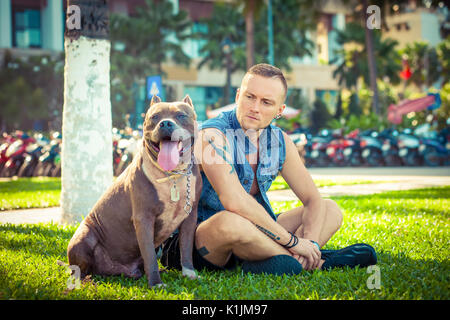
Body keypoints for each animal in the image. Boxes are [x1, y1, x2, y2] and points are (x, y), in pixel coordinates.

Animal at [67, 95, 202, 288]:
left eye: (181, 115)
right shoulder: (143, 218)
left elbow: (186, 246)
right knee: (79, 269)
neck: (172, 175)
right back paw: (86, 280)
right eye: (154, 117)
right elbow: (150, 255)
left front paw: (189, 273)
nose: (165, 123)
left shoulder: (190, 216)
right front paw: (156, 283)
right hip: (84, 236)